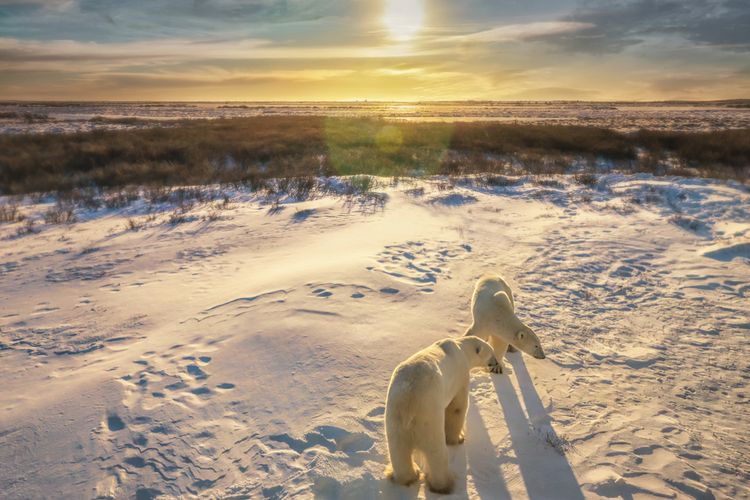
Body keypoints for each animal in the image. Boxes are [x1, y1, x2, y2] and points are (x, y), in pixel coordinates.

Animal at [384, 334, 496, 494]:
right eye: (491, 352)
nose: (495, 363)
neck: (461, 348)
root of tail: (409, 403)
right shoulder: (460, 375)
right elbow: (457, 407)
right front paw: (458, 438)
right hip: (428, 418)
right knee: (436, 453)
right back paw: (444, 484)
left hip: (395, 419)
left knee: (399, 452)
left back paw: (409, 476)